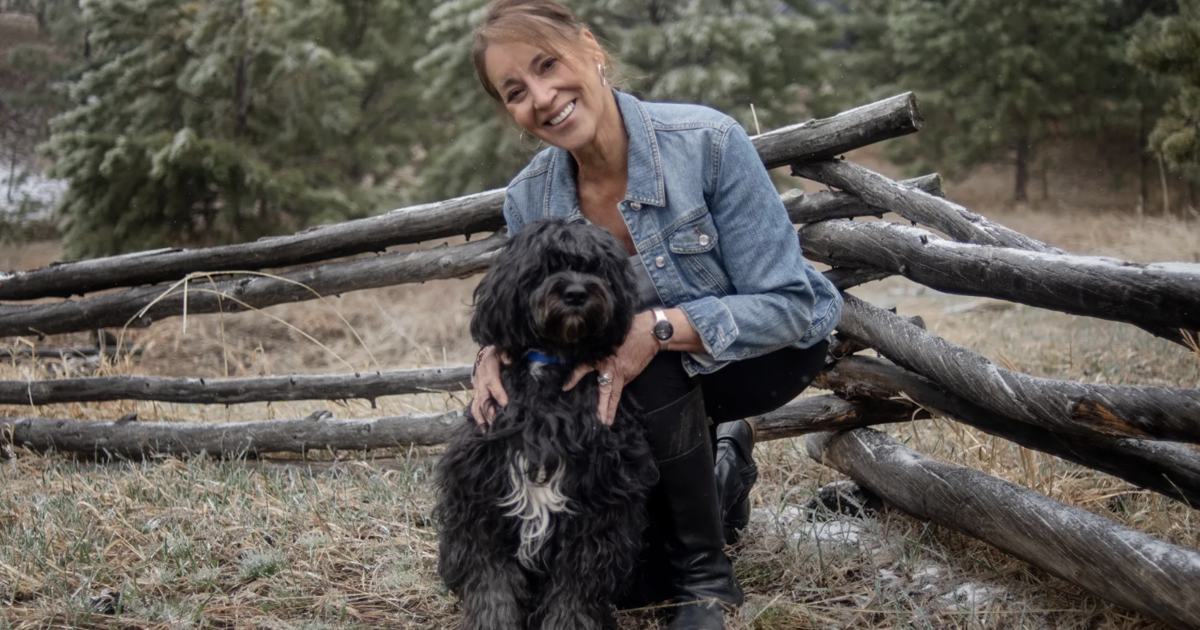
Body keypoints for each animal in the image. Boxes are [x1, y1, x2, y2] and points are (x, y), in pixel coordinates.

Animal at [432, 219, 657, 628]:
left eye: (596, 267)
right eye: (545, 265)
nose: (576, 293)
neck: (550, 368)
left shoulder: (597, 506)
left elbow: (575, 590)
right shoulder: (480, 499)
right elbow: (491, 583)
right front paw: (492, 622)